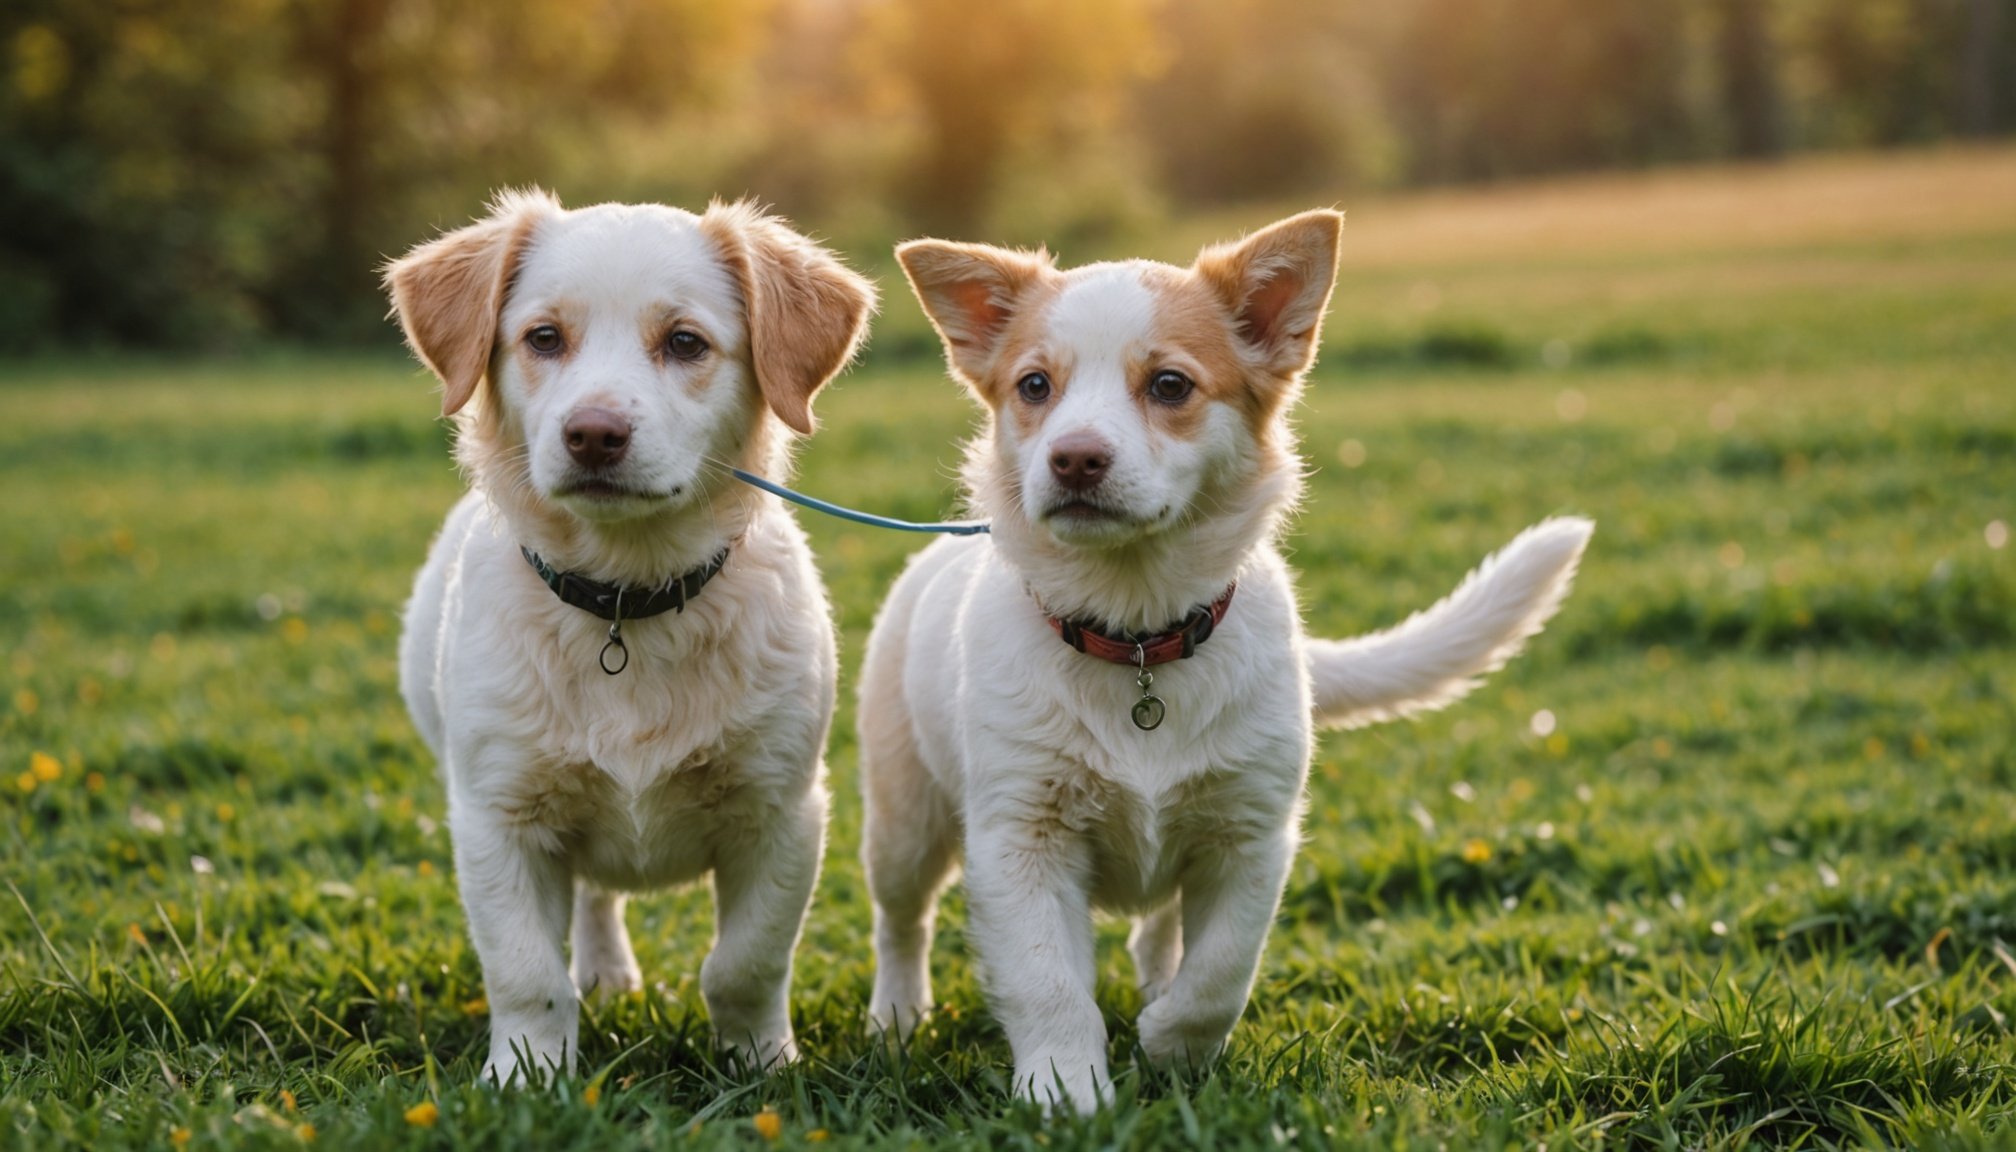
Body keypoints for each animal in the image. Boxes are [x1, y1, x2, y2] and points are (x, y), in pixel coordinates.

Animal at [385, 189, 874, 1081]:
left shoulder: (782, 812)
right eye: (544, 338)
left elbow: (747, 962)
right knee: (591, 898)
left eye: (684, 342)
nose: (594, 434)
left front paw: (761, 1063)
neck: (626, 601)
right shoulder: (497, 815)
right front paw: (524, 1075)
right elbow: (526, 972)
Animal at [858, 211, 1596, 1113]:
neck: (1137, 633)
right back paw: (896, 1019)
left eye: (1170, 386)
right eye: (1034, 387)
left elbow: (1221, 971)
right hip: (903, 819)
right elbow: (1047, 981)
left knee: (1161, 928)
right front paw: (1067, 1092)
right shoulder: (1021, 836)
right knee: (902, 921)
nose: (1073, 458)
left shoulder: (1250, 835)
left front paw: (1171, 1047)